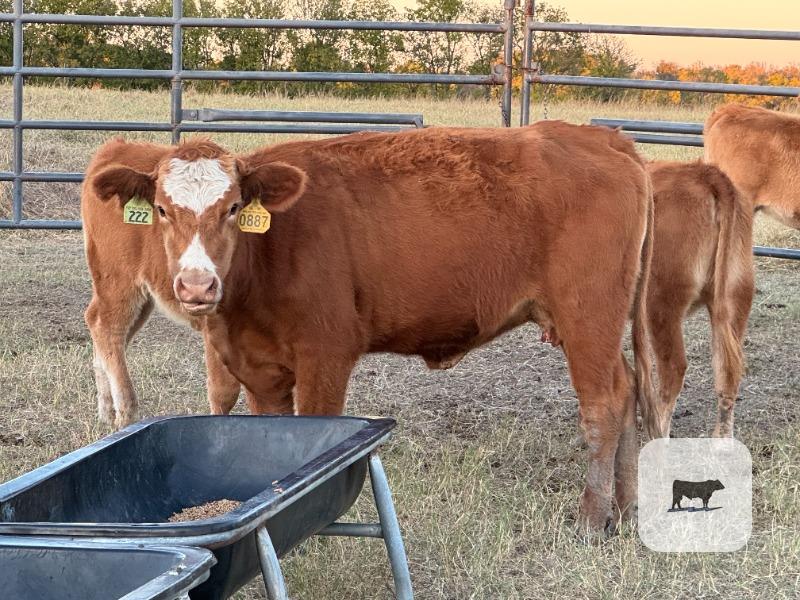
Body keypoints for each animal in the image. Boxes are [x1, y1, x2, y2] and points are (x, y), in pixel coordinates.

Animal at [82, 138, 267, 429]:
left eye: (234, 207)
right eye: (162, 210)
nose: (198, 286)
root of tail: (115, 148)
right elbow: (224, 392)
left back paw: (107, 410)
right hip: (119, 283)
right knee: (107, 326)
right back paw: (124, 413)